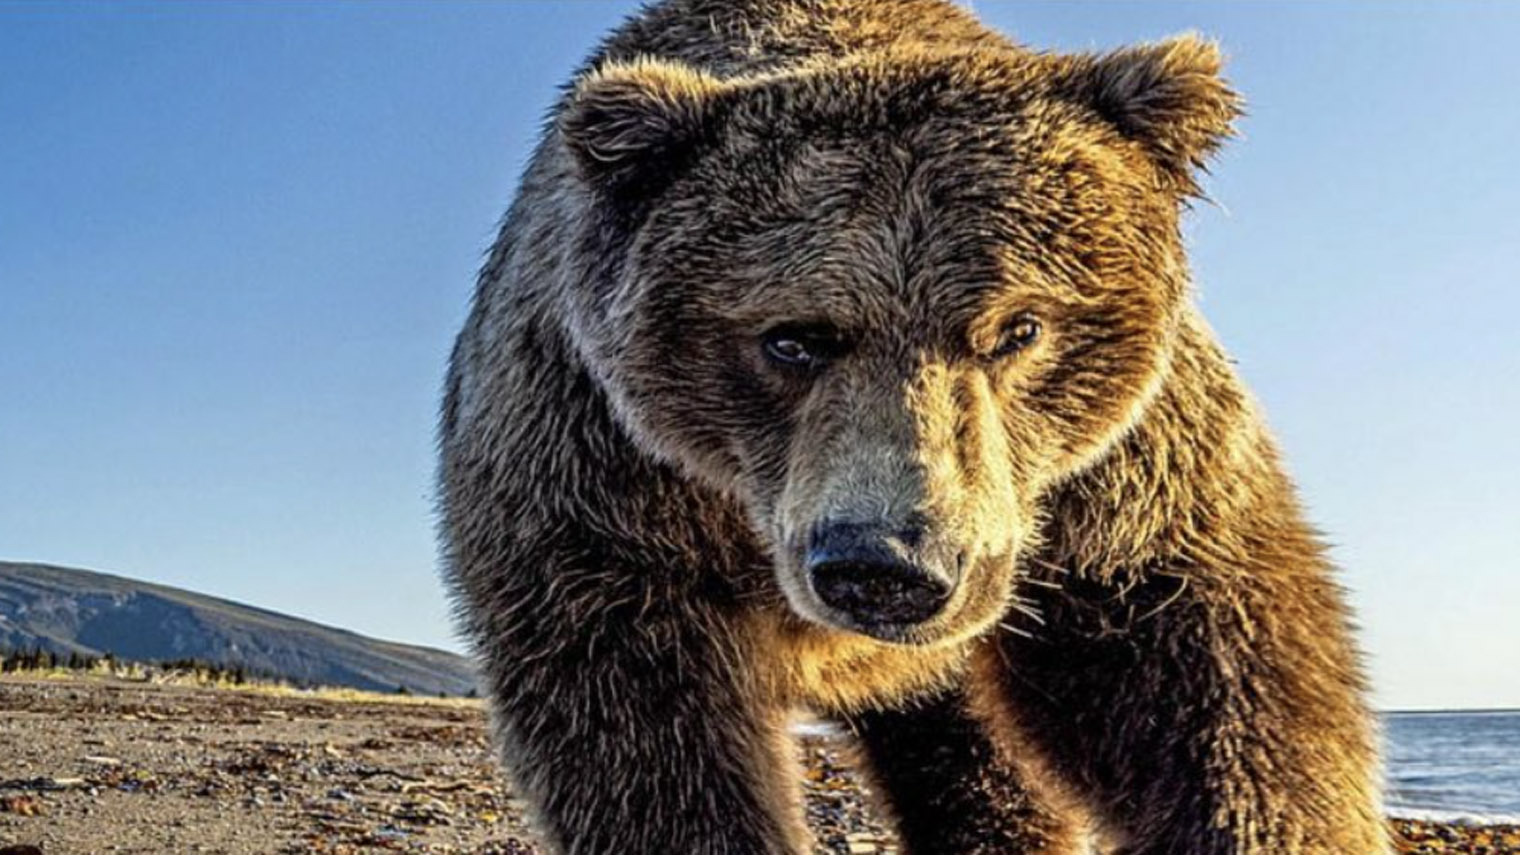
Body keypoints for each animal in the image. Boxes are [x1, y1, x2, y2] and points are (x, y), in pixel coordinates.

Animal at [437, 1, 1389, 854]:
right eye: (792, 337)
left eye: (1019, 327)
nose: (887, 563)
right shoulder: (598, 487)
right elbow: (642, 739)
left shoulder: (1120, 484)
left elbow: (1215, 674)